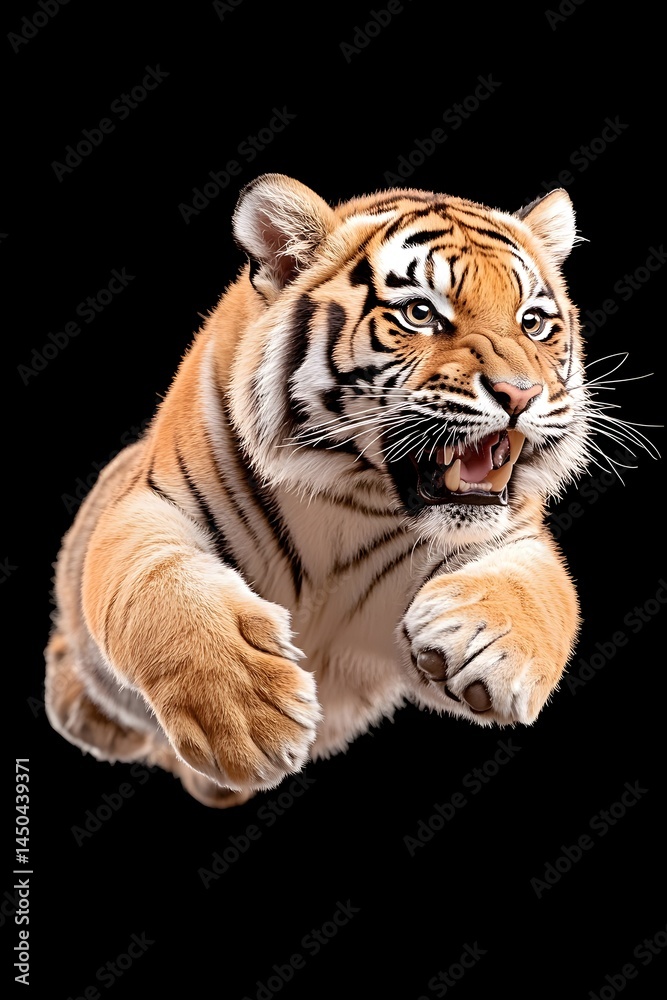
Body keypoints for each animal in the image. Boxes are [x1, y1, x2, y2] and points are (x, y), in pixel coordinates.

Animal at [45, 172, 592, 809]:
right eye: (420, 313)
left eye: (533, 322)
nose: (521, 393)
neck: (351, 497)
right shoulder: (148, 505)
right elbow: (161, 586)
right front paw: (247, 713)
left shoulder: (512, 533)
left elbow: (546, 588)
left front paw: (488, 647)